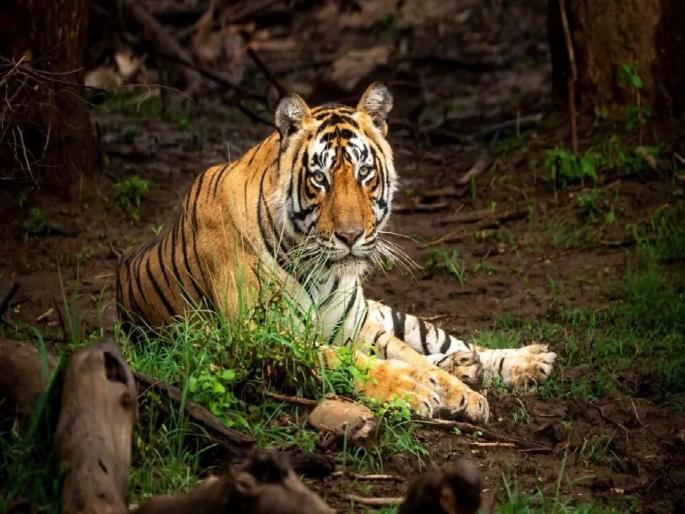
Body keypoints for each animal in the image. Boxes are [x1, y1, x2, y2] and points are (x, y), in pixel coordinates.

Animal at [116, 83, 556, 423]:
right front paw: (414, 389)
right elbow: (346, 361)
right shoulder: (262, 337)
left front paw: (463, 394)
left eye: (364, 173)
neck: (321, 269)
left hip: (385, 315)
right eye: (320, 178)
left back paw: (525, 362)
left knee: (446, 342)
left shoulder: (356, 326)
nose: (350, 235)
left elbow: (408, 355)